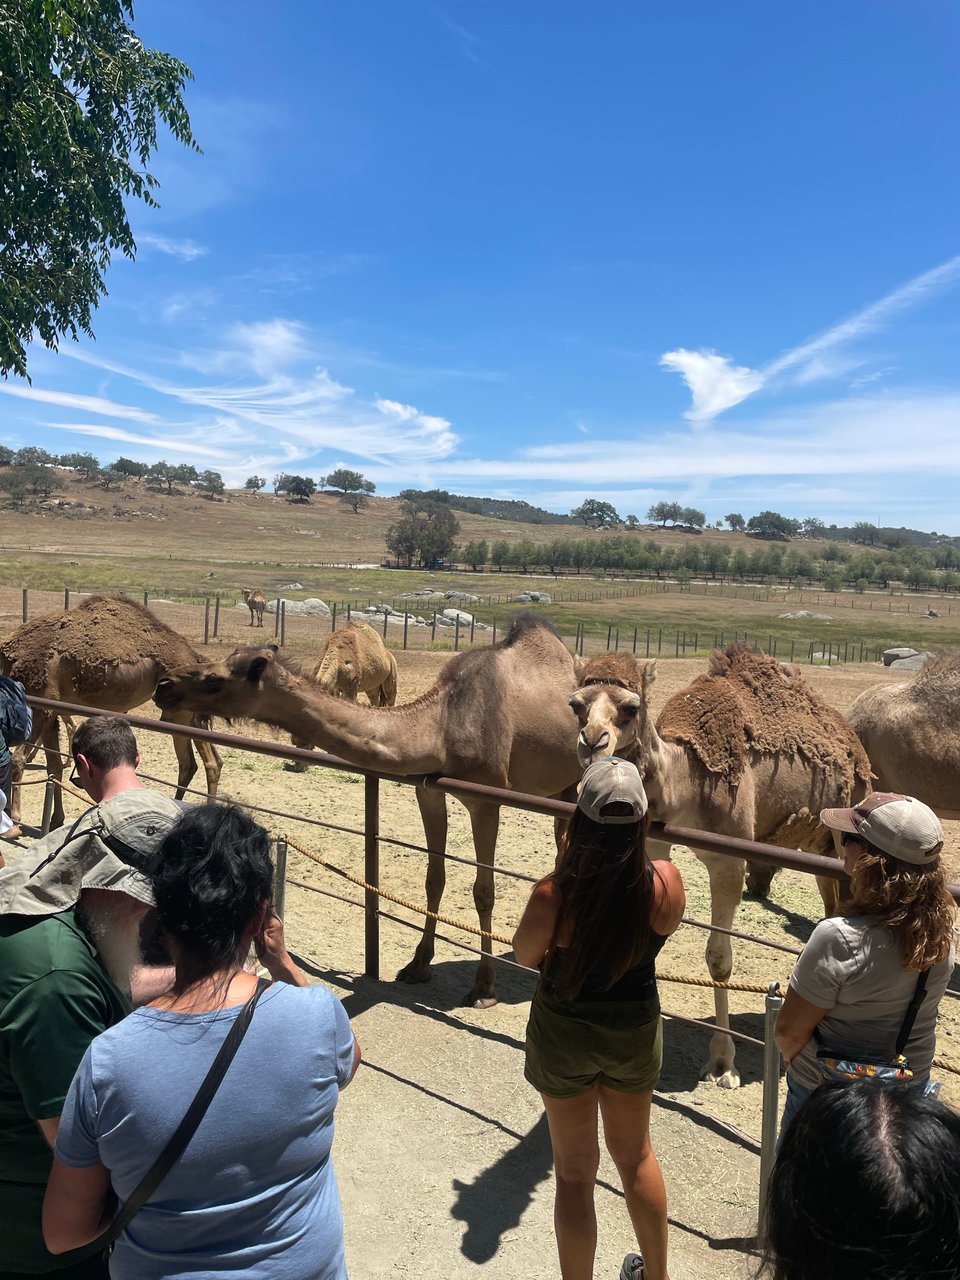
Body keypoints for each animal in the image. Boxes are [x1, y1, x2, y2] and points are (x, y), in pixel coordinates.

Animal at [0, 596, 223, 830]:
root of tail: (194, 657)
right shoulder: (54, 709)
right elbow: (54, 767)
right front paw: (55, 820)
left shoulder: (42, 704)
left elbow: (18, 759)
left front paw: (16, 820)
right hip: (186, 713)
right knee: (200, 763)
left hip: (178, 713)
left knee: (201, 762)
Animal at [154, 614, 582, 1006]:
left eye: (215, 679)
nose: (164, 685)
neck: (443, 725)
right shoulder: (427, 789)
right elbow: (434, 879)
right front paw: (417, 966)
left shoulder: (486, 797)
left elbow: (483, 891)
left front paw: (483, 988)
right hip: (562, 786)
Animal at [568, 645, 872, 1088]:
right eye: (576, 704)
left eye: (630, 706)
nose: (592, 742)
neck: (685, 781)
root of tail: (855, 746)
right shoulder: (655, 842)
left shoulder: (729, 859)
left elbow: (719, 959)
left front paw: (723, 1064)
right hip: (823, 846)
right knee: (830, 902)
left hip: (850, 821)